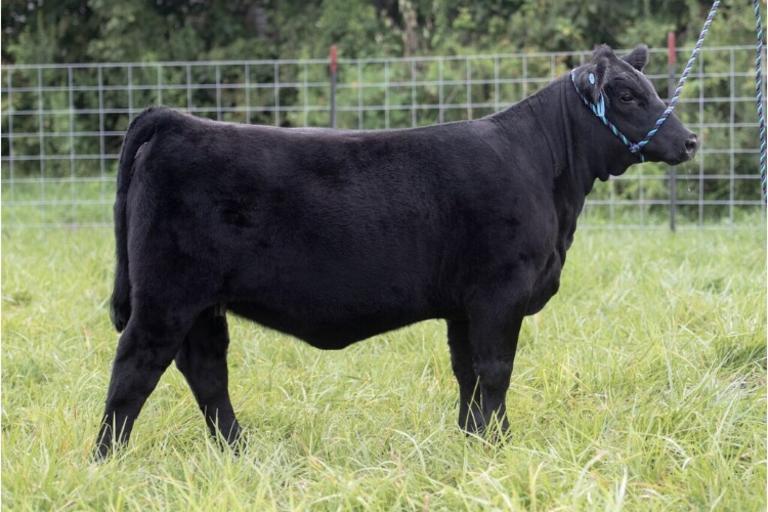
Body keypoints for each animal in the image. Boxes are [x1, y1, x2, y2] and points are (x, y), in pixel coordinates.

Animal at [94, 44, 698, 458]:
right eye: (627, 95)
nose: (690, 141)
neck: (546, 172)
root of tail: (176, 120)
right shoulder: (499, 292)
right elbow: (495, 370)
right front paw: (498, 447)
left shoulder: (463, 305)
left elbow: (467, 373)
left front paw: (471, 442)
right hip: (165, 297)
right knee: (134, 371)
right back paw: (107, 461)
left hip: (202, 305)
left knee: (206, 373)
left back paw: (239, 453)